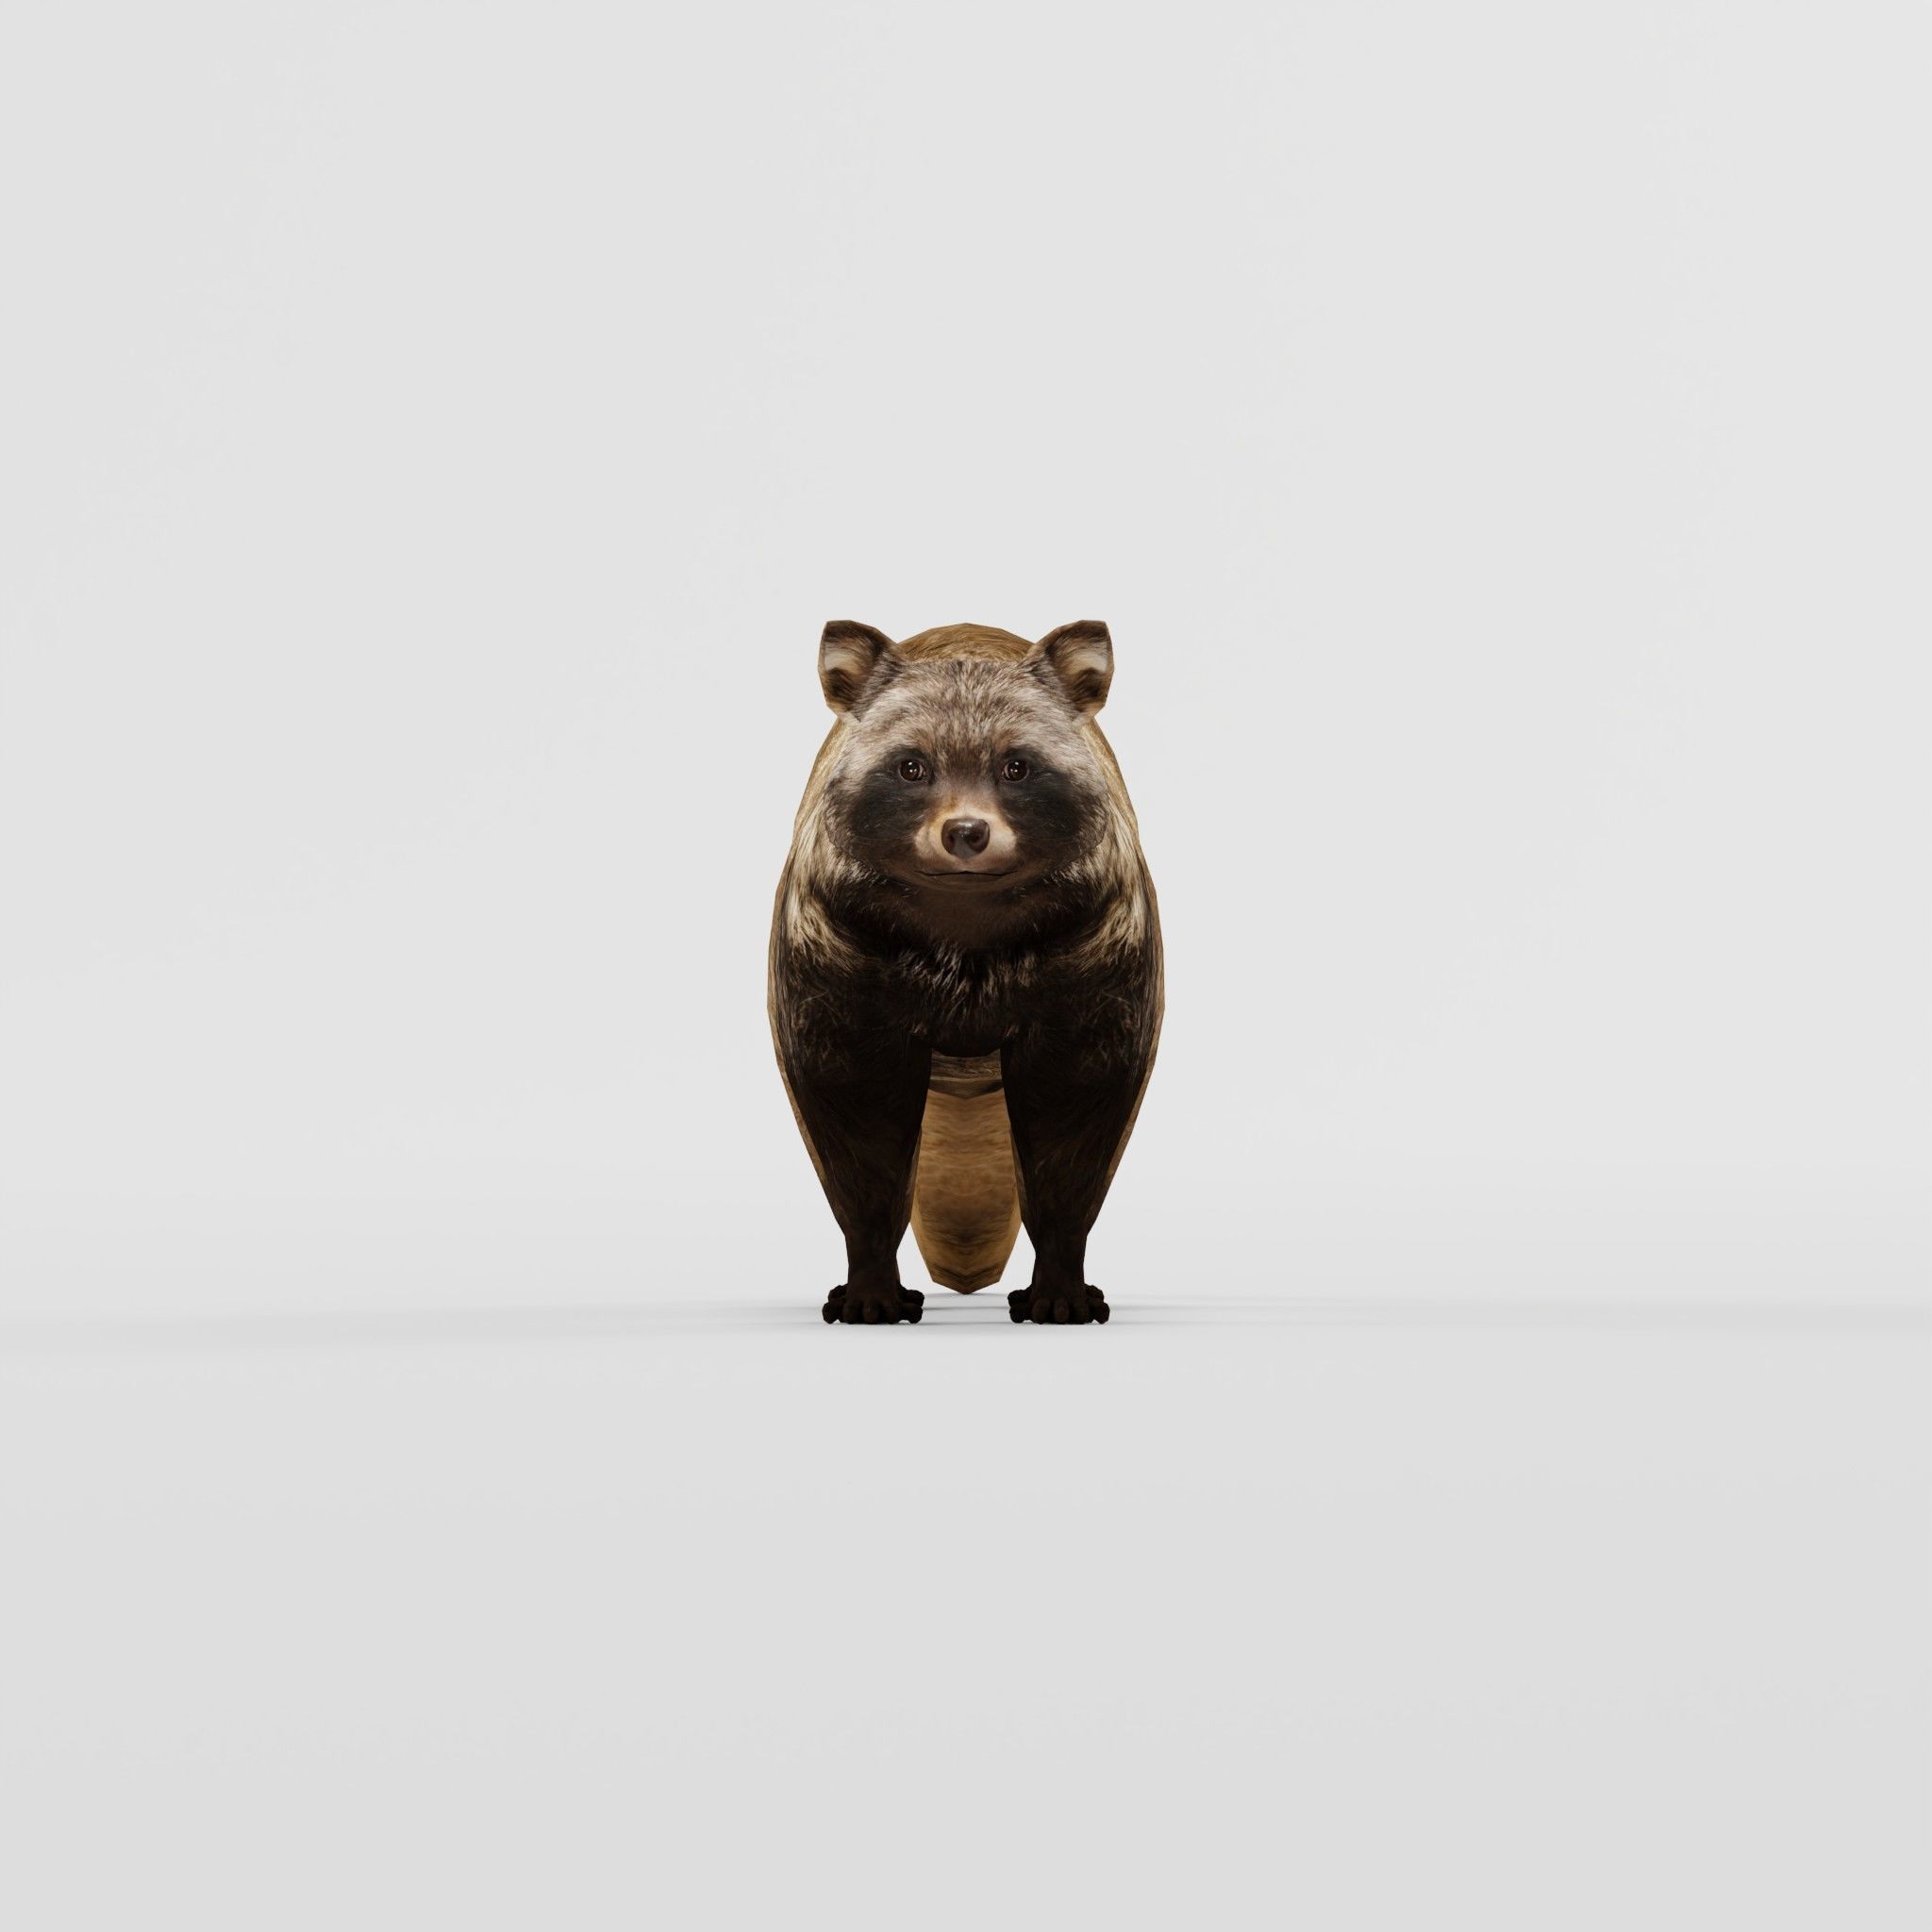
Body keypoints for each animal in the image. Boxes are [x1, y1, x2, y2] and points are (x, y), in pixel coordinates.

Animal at [768, 620, 1163, 1325]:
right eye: (911, 766)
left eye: (1017, 765)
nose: (967, 832)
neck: (963, 917)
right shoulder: (839, 949)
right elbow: (855, 1114)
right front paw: (871, 1281)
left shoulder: (1093, 949)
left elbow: (1077, 1112)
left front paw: (1060, 1280)